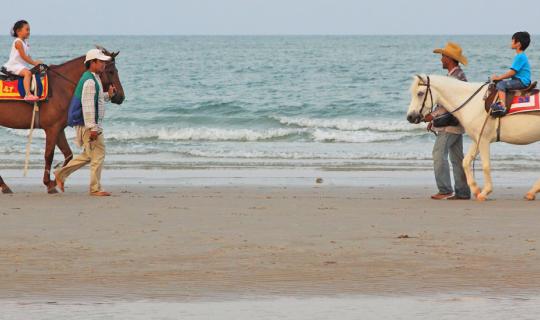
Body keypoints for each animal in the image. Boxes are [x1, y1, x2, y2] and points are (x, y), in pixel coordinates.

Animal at [0, 46, 124, 194]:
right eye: (111, 71)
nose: (120, 96)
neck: (60, 87)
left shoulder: (59, 129)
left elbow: (68, 155)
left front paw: (55, 180)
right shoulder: (52, 129)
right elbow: (49, 155)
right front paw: (48, 183)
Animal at [408, 74, 540, 201]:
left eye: (420, 93)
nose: (410, 117)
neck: (473, 104)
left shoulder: (484, 140)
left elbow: (486, 166)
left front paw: (485, 192)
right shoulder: (477, 140)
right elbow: (465, 162)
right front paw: (476, 190)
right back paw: (531, 192)